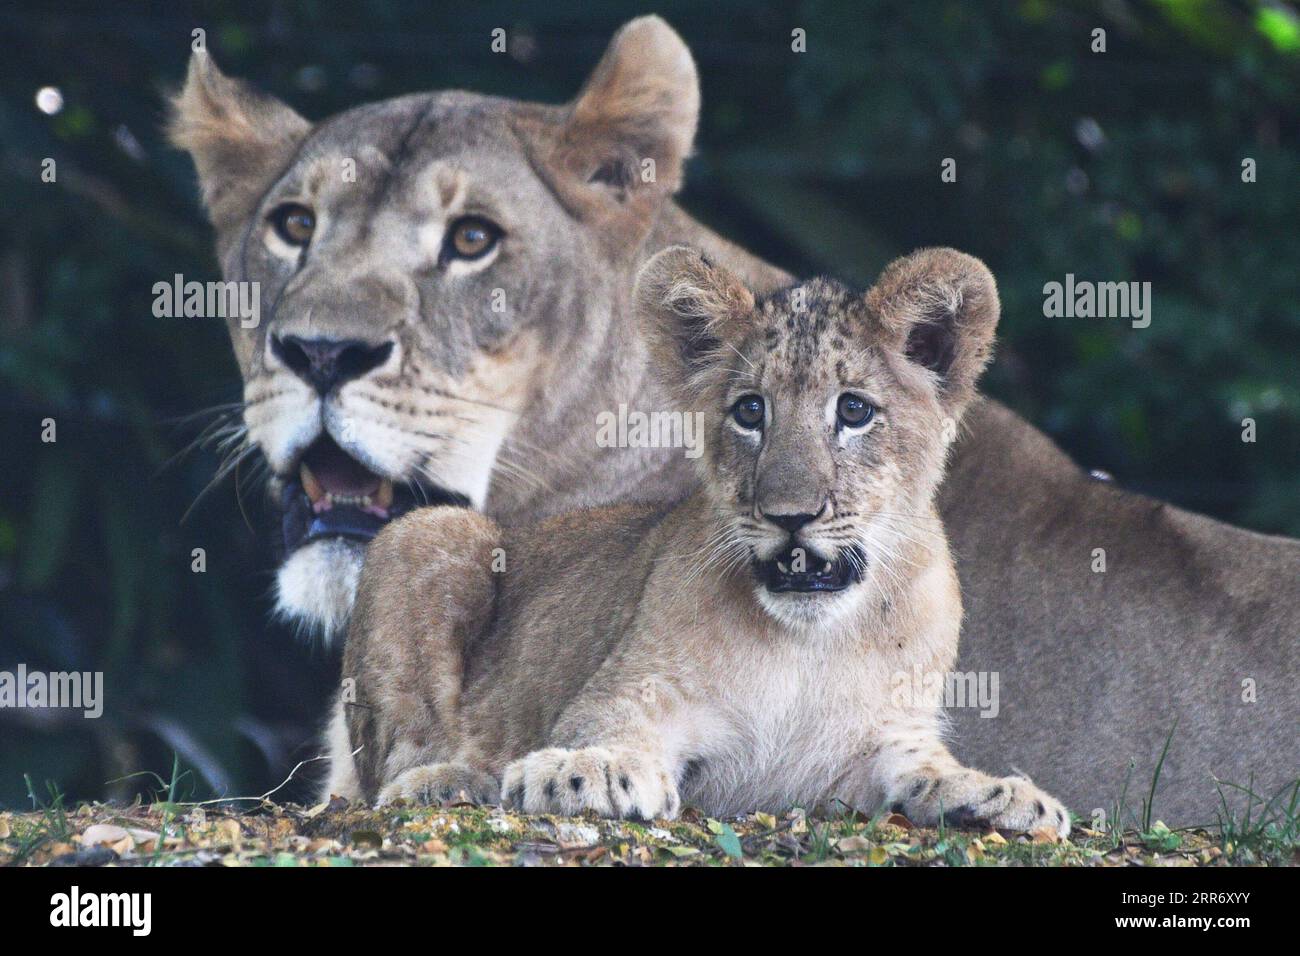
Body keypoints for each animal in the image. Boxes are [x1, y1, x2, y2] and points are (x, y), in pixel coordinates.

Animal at [335, 245, 1070, 835]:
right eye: (750, 411)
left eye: (854, 410)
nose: (790, 514)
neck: (809, 645)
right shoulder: (632, 689)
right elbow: (607, 731)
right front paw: (585, 771)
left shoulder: (876, 742)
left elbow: (924, 767)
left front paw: (1001, 793)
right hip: (424, 532)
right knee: (380, 772)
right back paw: (450, 781)